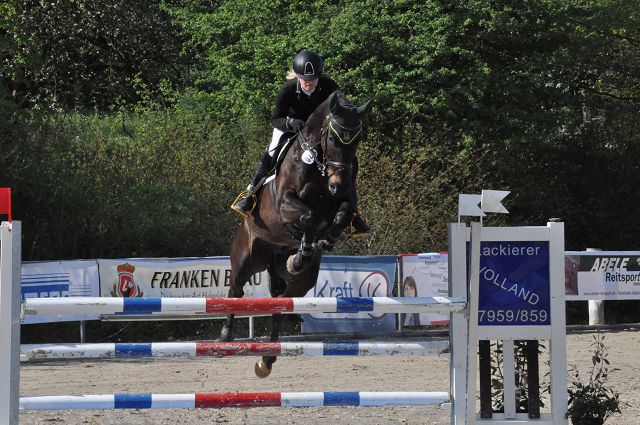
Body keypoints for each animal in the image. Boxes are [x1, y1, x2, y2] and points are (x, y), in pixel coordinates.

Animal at [220, 90, 371, 378]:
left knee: (282, 301)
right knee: (236, 290)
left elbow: (342, 214)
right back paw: (225, 334)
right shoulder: (285, 203)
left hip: (299, 281)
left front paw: (322, 241)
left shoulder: (344, 200)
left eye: (358, 140)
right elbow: (308, 216)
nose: (338, 184)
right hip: (247, 257)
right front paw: (304, 248)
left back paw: (266, 360)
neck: (319, 166)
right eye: (332, 138)